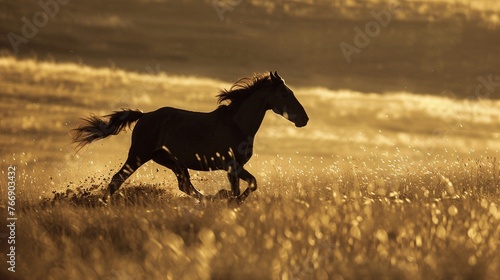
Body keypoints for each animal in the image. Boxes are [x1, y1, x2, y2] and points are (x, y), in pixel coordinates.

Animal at [71, 71, 308, 203]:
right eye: (285, 93)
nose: (304, 119)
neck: (237, 124)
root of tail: (145, 115)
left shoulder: (236, 167)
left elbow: (251, 184)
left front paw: (225, 198)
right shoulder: (232, 166)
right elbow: (243, 188)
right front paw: (229, 200)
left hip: (170, 160)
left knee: (184, 184)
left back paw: (209, 199)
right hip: (139, 155)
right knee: (116, 180)